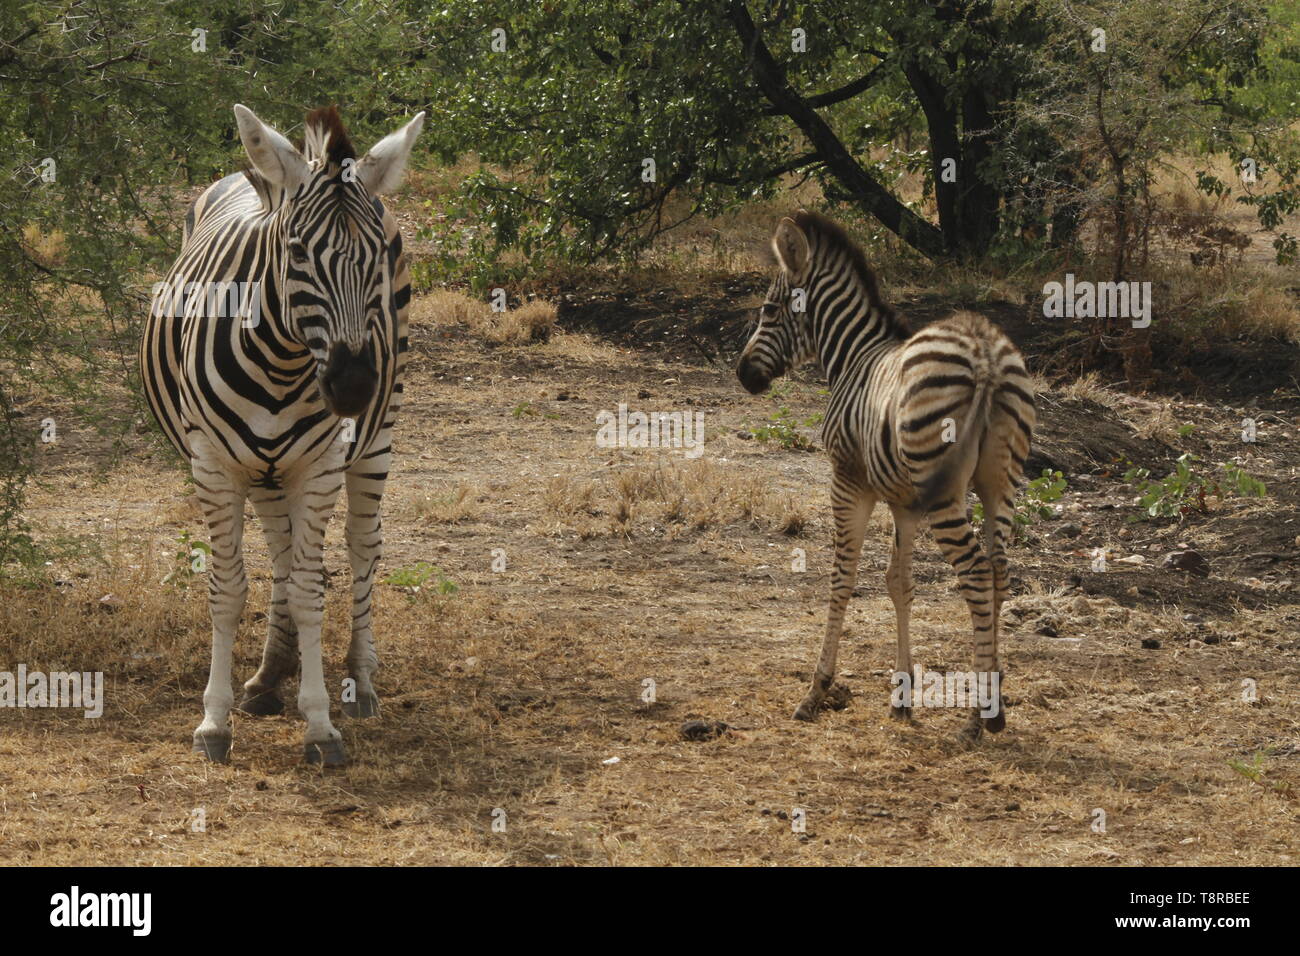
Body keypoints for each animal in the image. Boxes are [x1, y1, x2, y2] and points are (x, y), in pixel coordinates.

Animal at [140, 104, 425, 765]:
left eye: (375, 254)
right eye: (296, 249)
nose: (352, 387)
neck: (282, 361)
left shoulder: (320, 465)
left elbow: (310, 589)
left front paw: (319, 723)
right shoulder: (213, 465)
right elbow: (229, 588)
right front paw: (214, 721)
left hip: (377, 434)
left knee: (361, 546)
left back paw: (359, 679)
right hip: (267, 468)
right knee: (282, 552)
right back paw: (270, 675)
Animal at [735, 211, 1036, 741]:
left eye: (770, 310)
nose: (742, 374)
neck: (852, 356)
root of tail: (984, 350)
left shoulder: (849, 480)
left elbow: (844, 576)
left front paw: (817, 690)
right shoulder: (905, 501)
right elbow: (899, 583)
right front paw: (902, 698)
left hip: (946, 492)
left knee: (977, 573)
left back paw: (978, 718)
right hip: (1000, 484)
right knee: (999, 571)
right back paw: (996, 705)